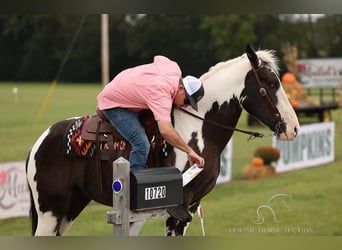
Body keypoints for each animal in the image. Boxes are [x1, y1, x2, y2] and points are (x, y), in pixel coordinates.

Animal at [26, 44, 300, 235]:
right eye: (271, 84)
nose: (294, 128)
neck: (198, 127)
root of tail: (39, 142)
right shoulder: (178, 210)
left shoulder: (191, 208)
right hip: (50, 212)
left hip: (70, 210)